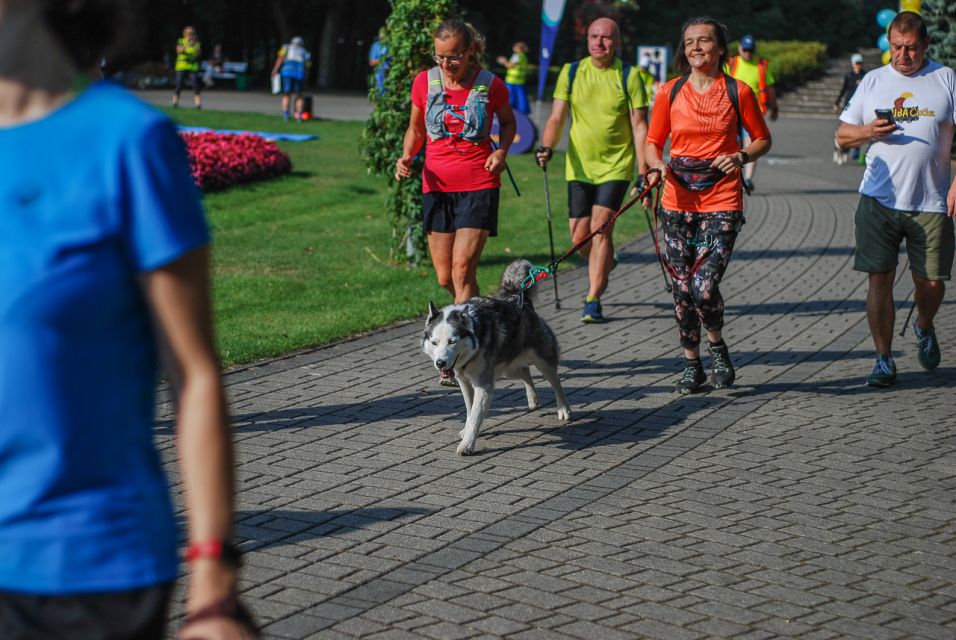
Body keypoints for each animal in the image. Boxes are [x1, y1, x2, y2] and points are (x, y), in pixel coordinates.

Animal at [422, 260, 572, 456]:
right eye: (434, 342)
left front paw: (467, 444)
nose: (440, 363)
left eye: (452, 341)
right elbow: (469, 409)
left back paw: (563, 409)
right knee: (525, 371)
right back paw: (533, 399)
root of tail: (519, 300)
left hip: (542, 359)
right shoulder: (464, 381)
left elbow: (476, 414)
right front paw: (466, 430)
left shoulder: (484, 385)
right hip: (507, 367)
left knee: (555, 381)